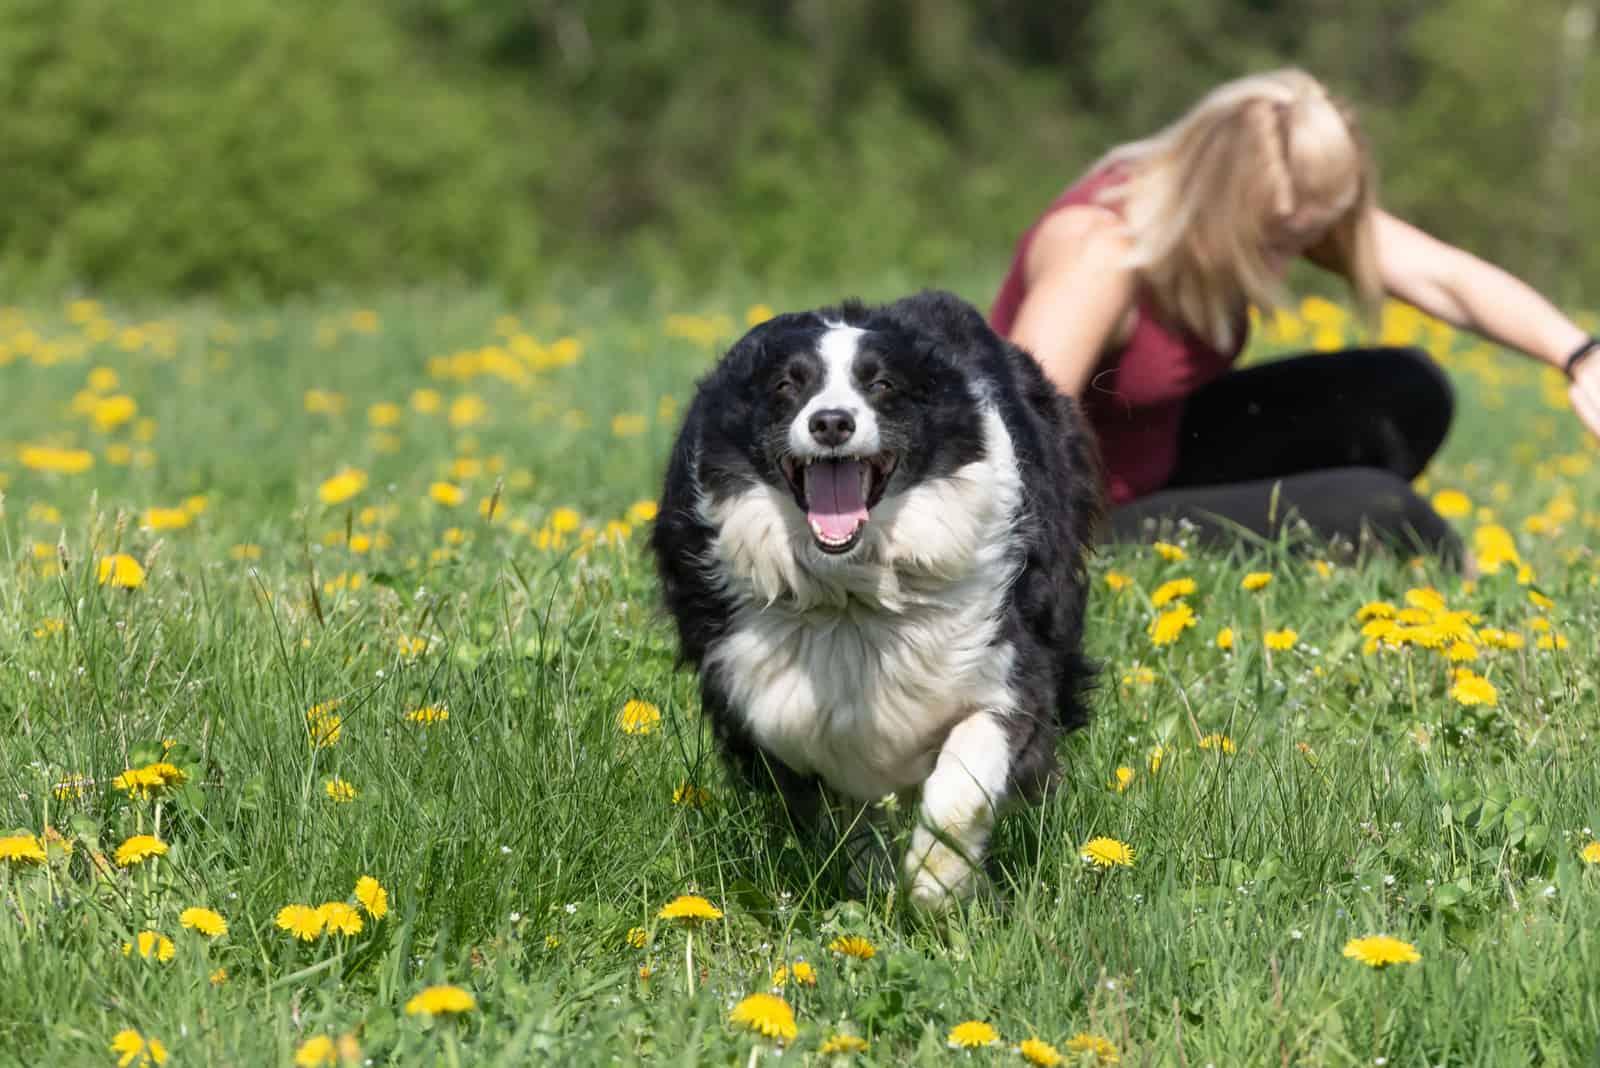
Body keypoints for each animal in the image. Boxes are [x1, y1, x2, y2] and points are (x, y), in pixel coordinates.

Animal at [649, 287, 1100, 908]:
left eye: (881, 384)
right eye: (786, 385)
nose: (831, 422)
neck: (852, 592)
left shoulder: (1008, 663)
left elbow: (964, 780)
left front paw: (938, 885)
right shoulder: (765, 693)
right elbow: (842, 796)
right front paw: (877, 888)